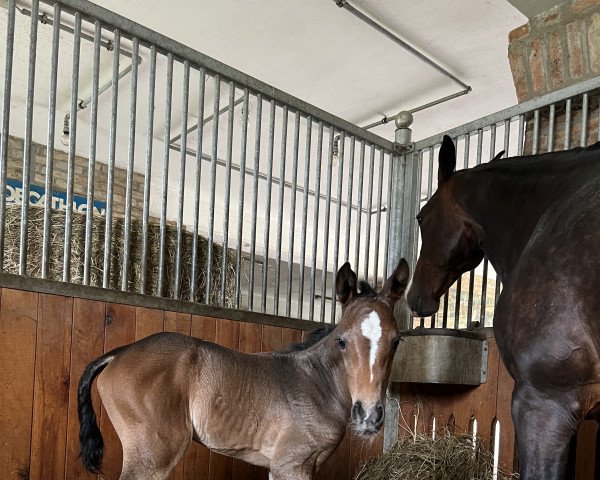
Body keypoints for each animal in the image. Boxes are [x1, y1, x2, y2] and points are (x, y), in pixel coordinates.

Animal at [78, 260, 408, 478]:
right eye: (341, 340)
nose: (368, 416)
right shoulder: (291, 465)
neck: (317, 385)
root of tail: (119, 353)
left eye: (396, 341)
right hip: (153, 455)